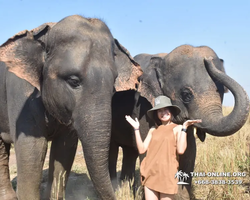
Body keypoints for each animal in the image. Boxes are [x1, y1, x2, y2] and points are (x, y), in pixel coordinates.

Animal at [0, 14, 142, 200]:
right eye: (74, 81)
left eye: (113, 85)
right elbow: (32, 147)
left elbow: (64, 148)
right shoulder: (21, 91)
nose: (119, 193)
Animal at [110, 44, 250, 199]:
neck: (162, 60)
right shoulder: (142, 106)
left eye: (221, 92)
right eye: (186, 95)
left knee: (129, 152)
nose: (208, 60)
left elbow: (189, 150)